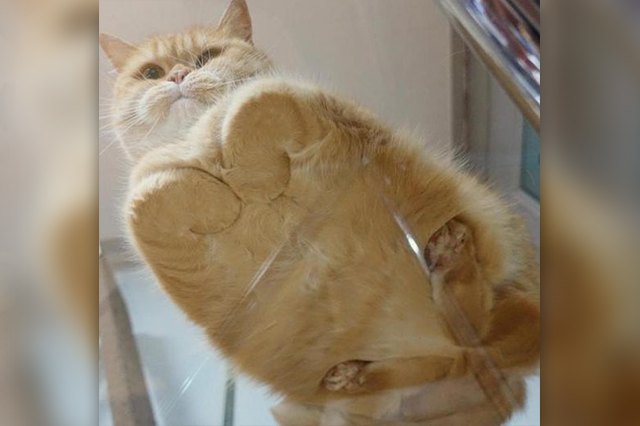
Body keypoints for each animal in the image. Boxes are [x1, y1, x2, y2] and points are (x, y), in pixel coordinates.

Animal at [101, 0, 540, 420]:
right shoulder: (148, 212)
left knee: (474, 311)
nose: (176, 76)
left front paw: (253, 179)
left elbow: (252, 104)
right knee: (448, 348)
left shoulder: (312, 103)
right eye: (152, 72)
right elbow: (153, 196)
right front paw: (224, 196)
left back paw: (449, 254)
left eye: (206, 56)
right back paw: (350, 373)